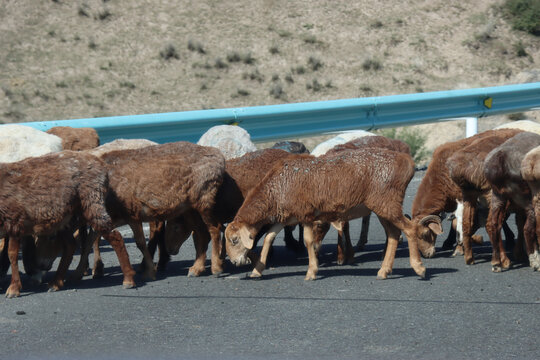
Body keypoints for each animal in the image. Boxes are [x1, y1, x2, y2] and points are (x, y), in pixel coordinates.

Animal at [0, 150, 135, 296]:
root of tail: (100, 164)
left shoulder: (14, 220)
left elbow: (11, 254)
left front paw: (13, 289)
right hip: (66, 216)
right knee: (71, 245)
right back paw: (56, 283)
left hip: (92, 200)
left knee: (114, 235)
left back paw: (128, 279)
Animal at [225, 148, 426, 280]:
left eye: (234, 240)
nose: (234, 262)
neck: (276, 189)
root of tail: (407, 162)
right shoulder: (287, 216)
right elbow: (269, 237)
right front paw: (257, 270)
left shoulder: (305, 214)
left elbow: (308, 241)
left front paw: (311, 272)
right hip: (383, 207)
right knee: (394, 234)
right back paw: (384, 271)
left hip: (388, 203)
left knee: (410, 229)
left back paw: (419, 267)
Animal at [484, 131, 540, 270]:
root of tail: (500, 160)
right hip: (526, 198)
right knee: (528, 228)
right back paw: (535, 261)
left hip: (498, 196)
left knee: (494, 224)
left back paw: (497, 263)